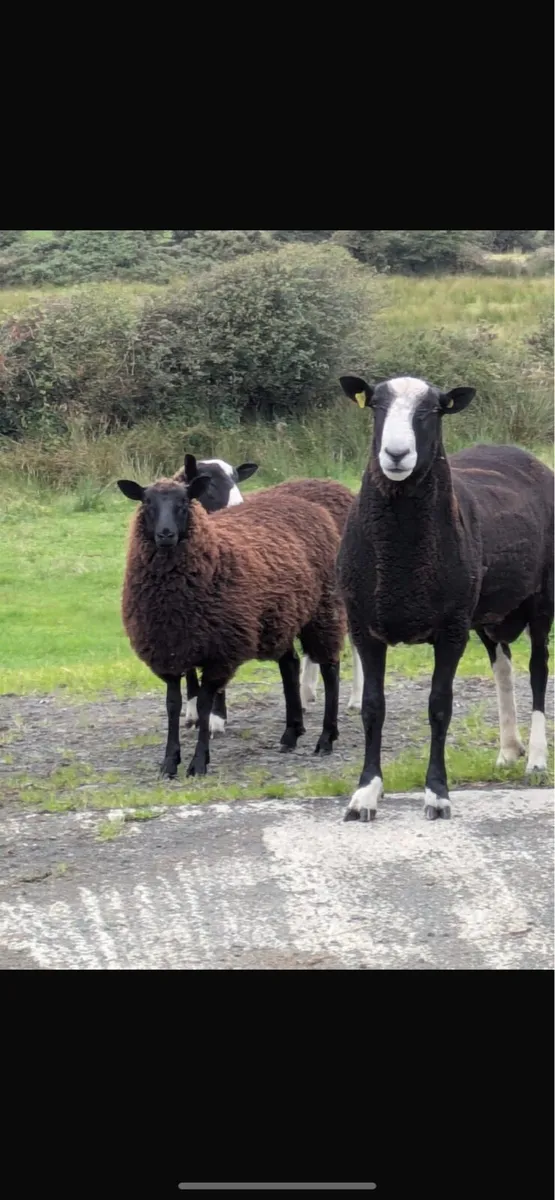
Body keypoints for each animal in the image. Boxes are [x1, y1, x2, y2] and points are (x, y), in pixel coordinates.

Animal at [337, 372, 554, 823]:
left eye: (433, 410)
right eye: (376, 406)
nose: (396, 454)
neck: (400, 557)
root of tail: (521, 454)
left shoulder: (451, 629)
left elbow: (440, 706)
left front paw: (437, 794)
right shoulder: (364, 625)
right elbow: (372, 707)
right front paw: (366, 793)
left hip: (543, 597)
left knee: (538, 669)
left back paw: (536, 760)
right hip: (487, 611)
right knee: (502, 666)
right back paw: (509, 750)